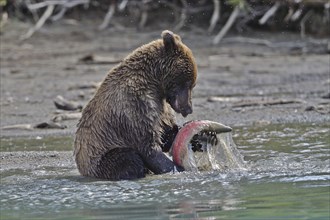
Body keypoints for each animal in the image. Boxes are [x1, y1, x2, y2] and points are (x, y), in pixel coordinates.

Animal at [73, 30, 197, 180]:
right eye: (188, 83)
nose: (188, 108)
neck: (154, 84)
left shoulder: (161, 108)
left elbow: (165, 133)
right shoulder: (135, 106)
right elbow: (148, 146)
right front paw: (179, 169)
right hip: (99, 156)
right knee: (127, 158)